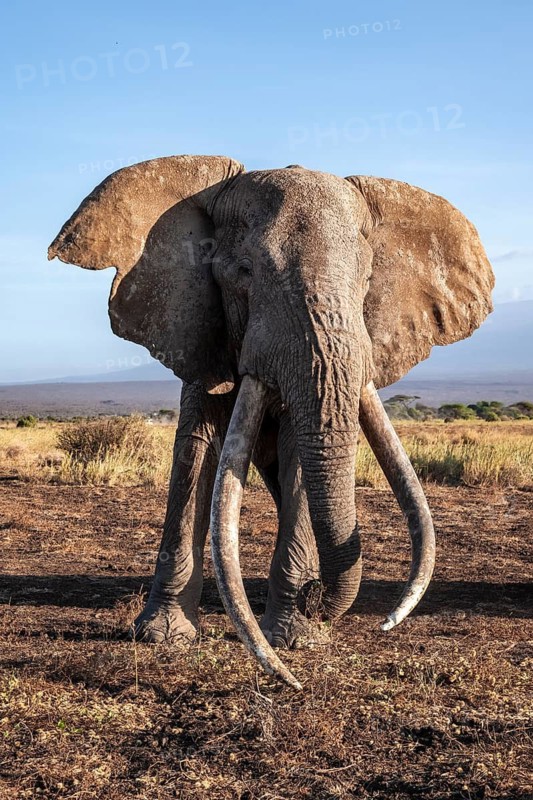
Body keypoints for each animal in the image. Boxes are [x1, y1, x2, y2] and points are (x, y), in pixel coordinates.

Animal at [48, 156, 494, 688]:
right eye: (243, 273)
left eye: (367, 280)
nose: (316, 596)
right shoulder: (199, 331)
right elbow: (196, 448)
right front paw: (162, 637)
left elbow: (297, 456)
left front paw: (299, 638)